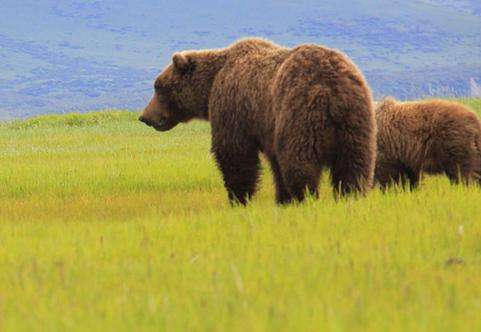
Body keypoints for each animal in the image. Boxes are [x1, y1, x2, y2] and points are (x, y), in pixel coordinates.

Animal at [138, 38, 376, 205]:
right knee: (354, 166)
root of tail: (334, 90)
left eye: (159, 87)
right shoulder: (268, 128)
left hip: (299, 115)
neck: (211, 83)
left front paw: (238, 198)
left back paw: (306, 197)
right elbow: (274, 163)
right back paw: (350, 196)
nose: (144, 116)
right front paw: (282, 199)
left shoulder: (233, 107)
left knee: (300, 161)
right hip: (356, 123)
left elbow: (235, 154)